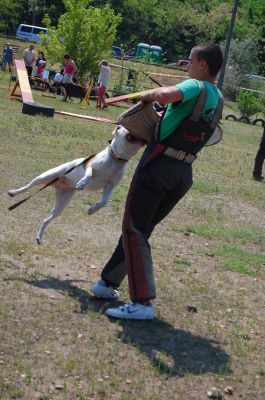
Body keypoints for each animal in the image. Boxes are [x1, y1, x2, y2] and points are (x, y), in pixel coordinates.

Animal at [8, 126, 143, 244]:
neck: (116, 159)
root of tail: (59, 184)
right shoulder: (90, 166)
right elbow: (89, 174)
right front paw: (83, 182)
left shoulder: (110, 186)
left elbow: (104, 201)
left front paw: (92, 209)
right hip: (45, 176)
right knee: (28, 187)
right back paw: (14, 192)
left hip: (61, 204)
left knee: (46, 220)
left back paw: (39, 237)